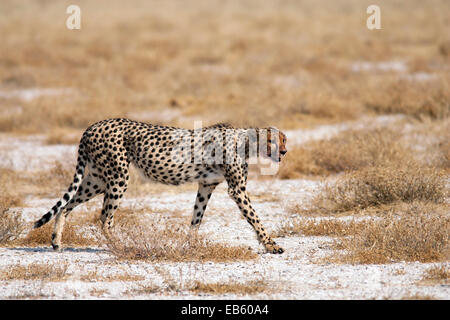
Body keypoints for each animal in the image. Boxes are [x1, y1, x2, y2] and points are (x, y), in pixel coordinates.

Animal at [35, 117, 288, 252]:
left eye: (284, 140)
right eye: (273, 141)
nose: (285, 152)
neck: (245, 141)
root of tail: (92, 126)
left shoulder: (206, 186)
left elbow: (196, 217)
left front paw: (191, 244)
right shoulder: (237, 190)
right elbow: (255, 218)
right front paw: (271, 245)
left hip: (97, 178)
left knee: (66, 206)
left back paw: (56, 241)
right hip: (118, 178)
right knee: (105, 218)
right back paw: (121, 246)